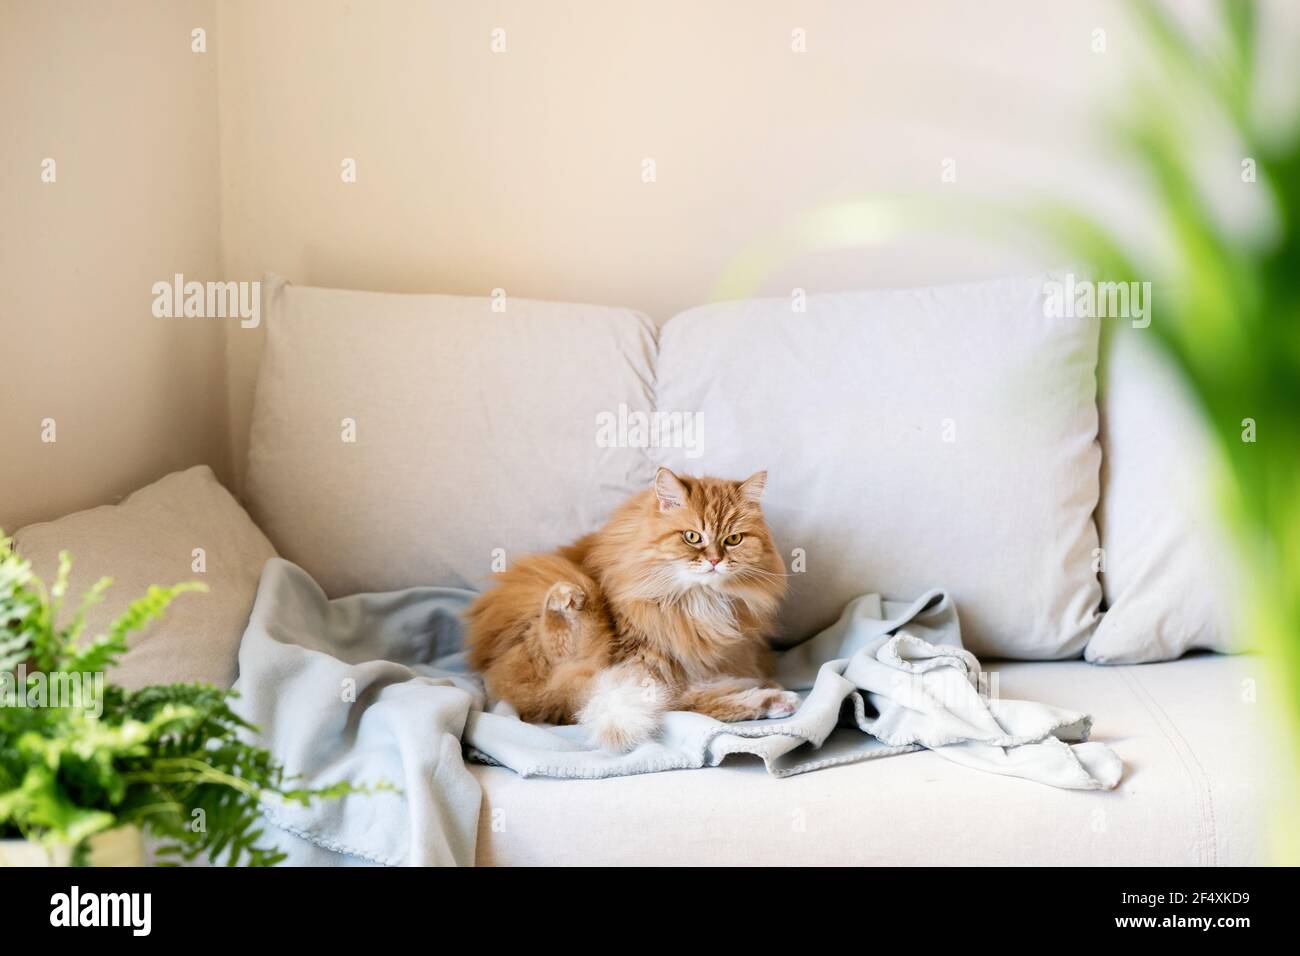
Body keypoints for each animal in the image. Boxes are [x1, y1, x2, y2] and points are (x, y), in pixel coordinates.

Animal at [462, 468, 795, 749]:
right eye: (692, 537)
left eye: (733, 539)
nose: (714, 561)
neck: (698, 600)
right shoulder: (644, 659)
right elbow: (690, 702)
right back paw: (566, 598)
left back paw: (774, 700)